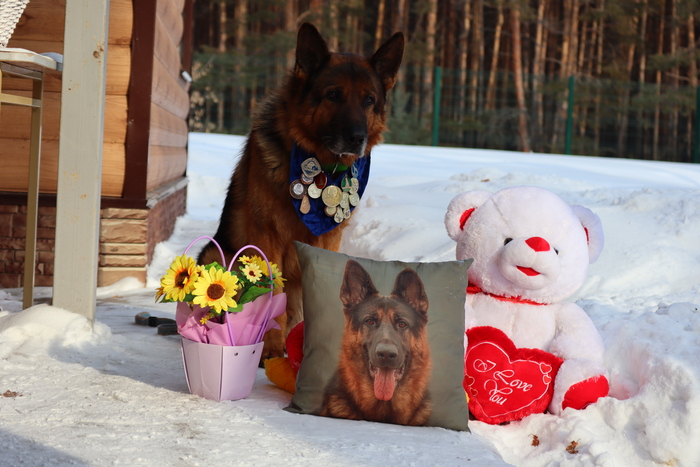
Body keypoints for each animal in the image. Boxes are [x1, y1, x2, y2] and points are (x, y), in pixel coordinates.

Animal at [197, 23, 404, 360]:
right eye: (333, 95)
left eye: (369, 100)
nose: (356, 138)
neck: (323, 172)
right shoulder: (267, 239)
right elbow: (272, 295)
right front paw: (271, 349)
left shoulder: (329, 239)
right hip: (217, 254)